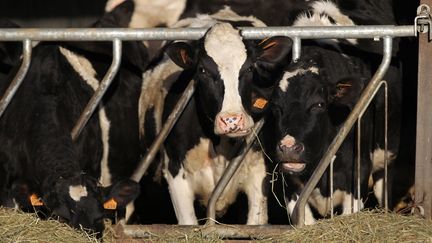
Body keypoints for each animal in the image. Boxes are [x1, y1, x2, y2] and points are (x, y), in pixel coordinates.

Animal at [140, 9, 292, 226]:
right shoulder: (176, 175)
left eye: (249, 69)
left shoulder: (259, 174)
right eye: (202, 70)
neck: (220, 148)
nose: (232, 120)